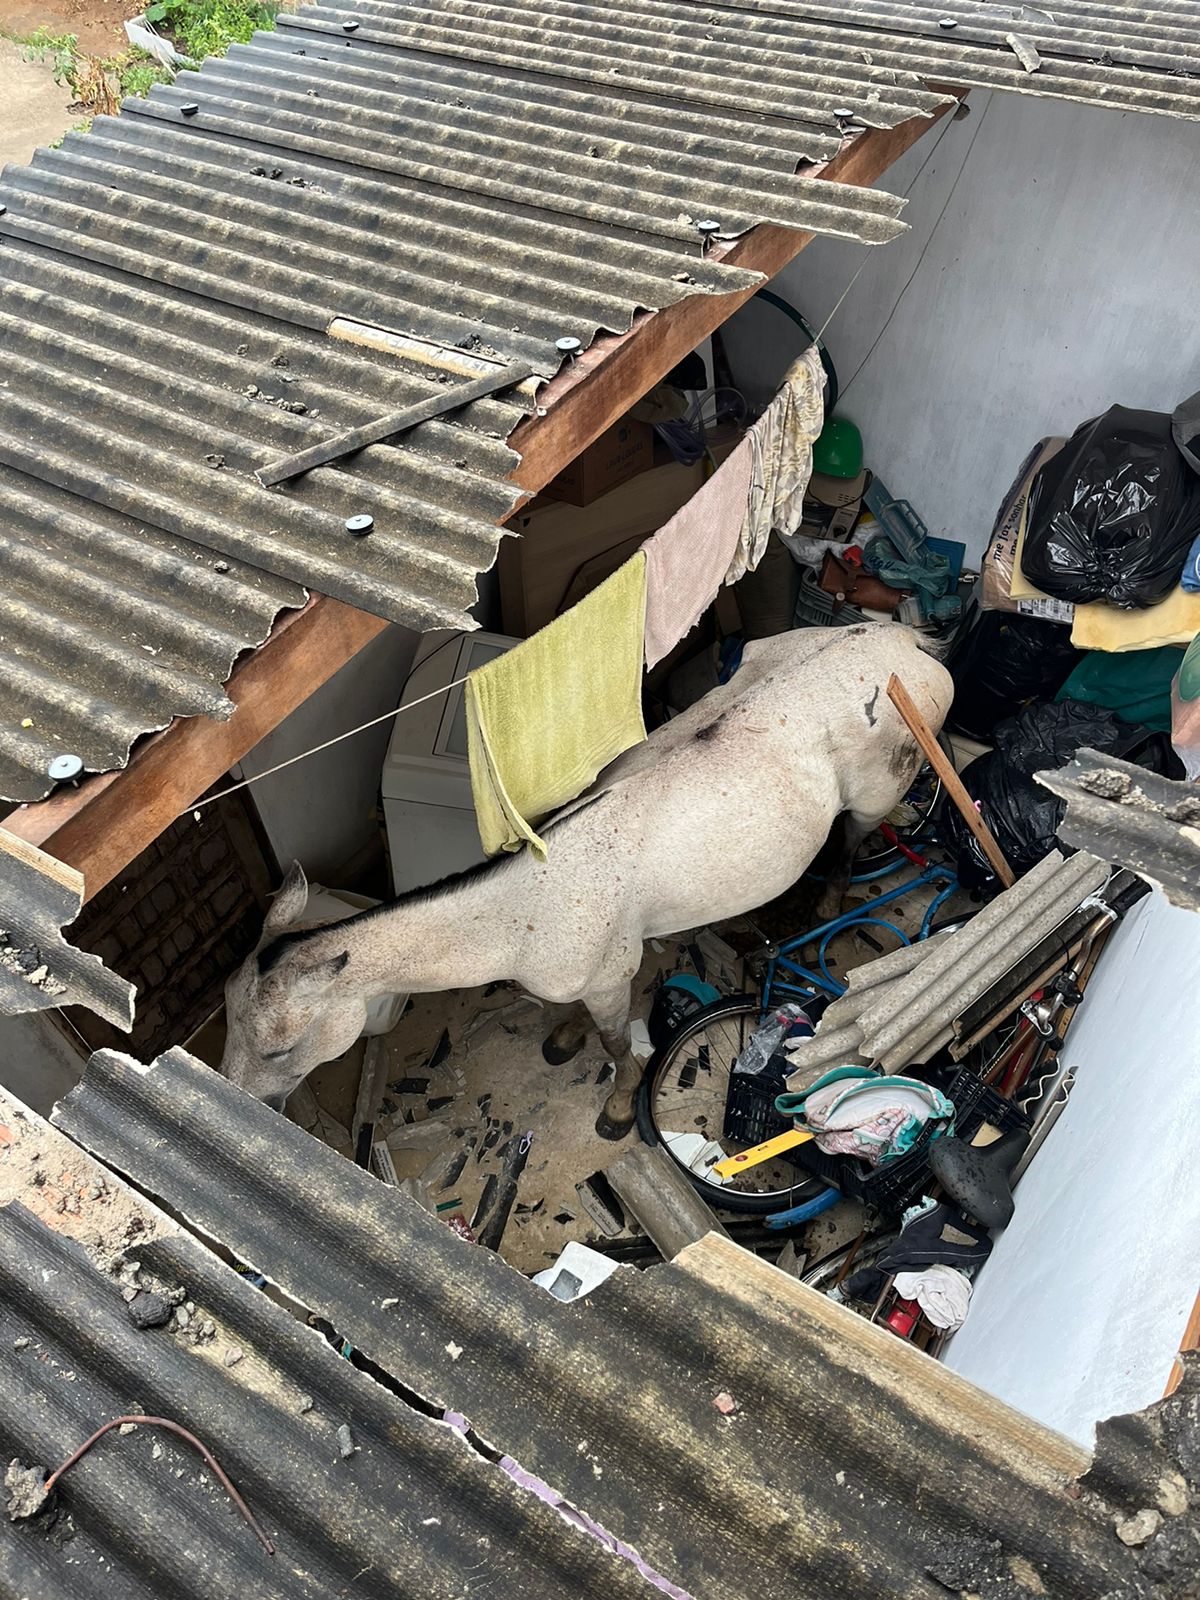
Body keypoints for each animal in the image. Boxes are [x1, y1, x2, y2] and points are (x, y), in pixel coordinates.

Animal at [220, 624, 953, 1139]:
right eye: (226, 1012)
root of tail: (903, 640)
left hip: (877, 794)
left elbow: (614, 1040)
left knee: (852, 842)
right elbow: (573, 1020)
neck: (523, 906)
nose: (240, 1101)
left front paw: (618, 1108)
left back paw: (825, 906)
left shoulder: (608, 977)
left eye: (281, 1046)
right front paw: (563, 1038)